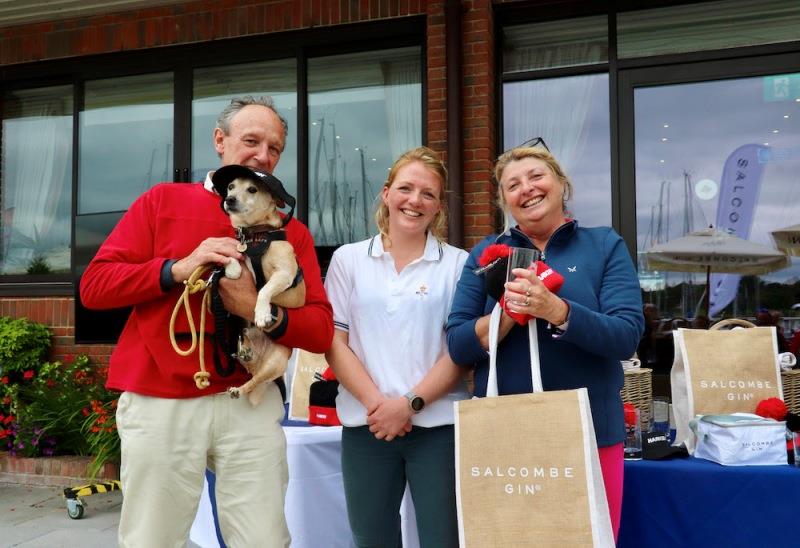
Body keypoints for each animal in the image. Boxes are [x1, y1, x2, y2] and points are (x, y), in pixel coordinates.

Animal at [211, 165, 304, 404]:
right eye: (231, 187)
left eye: (252, 189)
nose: (229, 199)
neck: (254, 234)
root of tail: (259, 359)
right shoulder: (237, 247)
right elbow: (233, 255)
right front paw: (233, 268)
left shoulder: (284, 274)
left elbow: (264, 289)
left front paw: (262, 313)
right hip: (240, 343)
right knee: (247, 365)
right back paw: (245, 351)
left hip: (276, 361)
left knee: (257, 379)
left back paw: (241, 387)